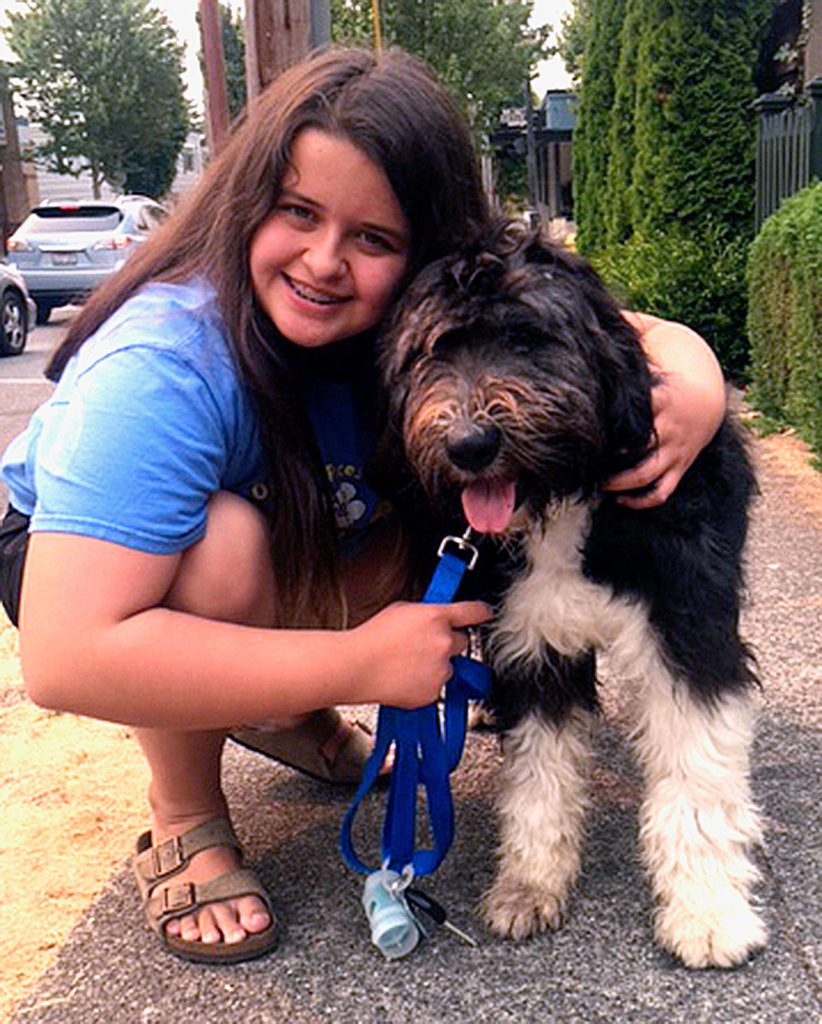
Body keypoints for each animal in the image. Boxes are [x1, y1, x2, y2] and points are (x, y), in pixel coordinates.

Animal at [378, 222, 765, 966]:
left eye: (528, 337)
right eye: (434, 350)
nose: (469, 443)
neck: (569, 489)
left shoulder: (689, 627)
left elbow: (696, 772)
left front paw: (707, 910)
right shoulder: (531, 641)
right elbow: (539, 775)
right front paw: (530, 883)